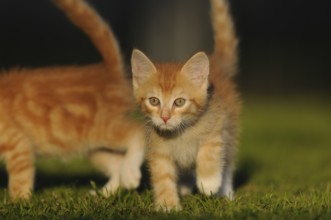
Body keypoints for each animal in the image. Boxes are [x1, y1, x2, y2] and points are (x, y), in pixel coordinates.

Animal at [0, 0, 145, 200]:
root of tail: (108, 72)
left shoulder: (18, 143)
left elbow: (20, 179)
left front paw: (17, 202)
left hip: (100, 128)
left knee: (137, 132)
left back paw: (130, 173)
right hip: (92, 146)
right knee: (116, 162)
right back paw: (105, 193)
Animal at [130, 0, 241, 211]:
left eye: (179, 102)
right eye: (154, 101)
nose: (165, 117)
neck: (180, 134)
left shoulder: (217, 126)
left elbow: (210, 151)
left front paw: (209, 182)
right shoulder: (159, 150)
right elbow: (163, 176)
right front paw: (168, 205)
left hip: (231, 128)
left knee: (229, 162)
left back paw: (225, 192)